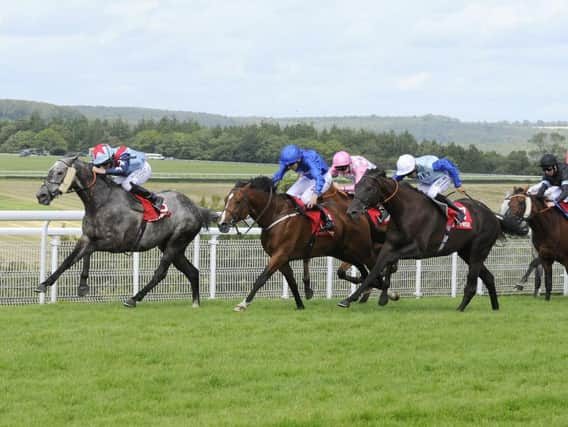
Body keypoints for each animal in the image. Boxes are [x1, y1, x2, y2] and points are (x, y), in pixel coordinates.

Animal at [35, 156, 217, 308]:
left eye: (59, 172)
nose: (41, 195)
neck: (101, 202)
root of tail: (196, 208)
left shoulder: (115, 243)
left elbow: (87, 252)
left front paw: (82, 286)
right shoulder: (87, 237)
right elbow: (70, 259)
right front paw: (46, 284)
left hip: (176, 243)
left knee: (160, 273)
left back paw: (133, 299)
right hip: (171, 247)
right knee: (192, 271)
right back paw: (195, 303)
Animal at [217, 176, 394, 312]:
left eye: (238, 201)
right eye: (225, 200)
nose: (222, 224)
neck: (276, 215)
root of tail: (360, 214)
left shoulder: (280, 254)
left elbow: (261, 278)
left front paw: (243, 304)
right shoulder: (282, 258)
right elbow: (292, 282)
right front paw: (300, 304)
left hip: (363, 249)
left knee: (376, 268)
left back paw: (387, 293)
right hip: (343, 251)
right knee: (364, 271)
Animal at [342, 167, 528, 310]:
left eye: (370, 189)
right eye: (356, 187)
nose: (352, 211)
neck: (406, 211)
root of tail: (494, 216)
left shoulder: (418, 249)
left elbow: (387, 261)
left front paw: (377, 296)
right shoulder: (390, 244)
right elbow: (378, 267)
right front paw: (355, 298)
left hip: (478, 250)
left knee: (472, 284)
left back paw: (460, 309)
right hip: (466, 252)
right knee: (489, 277)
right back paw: (495, 308)